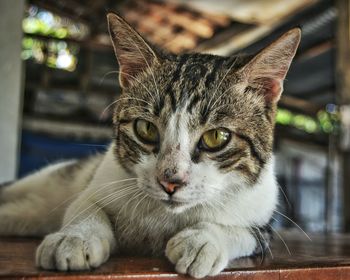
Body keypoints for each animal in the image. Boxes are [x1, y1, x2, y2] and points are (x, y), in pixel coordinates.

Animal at [0, 13, 300, 278]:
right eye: (145, 129)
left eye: (217, 137)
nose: (171, 181)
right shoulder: (98, 182)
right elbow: (85, 205)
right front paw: (75, 237)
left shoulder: (264, 223)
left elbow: (245, 231)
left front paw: (204, 239)